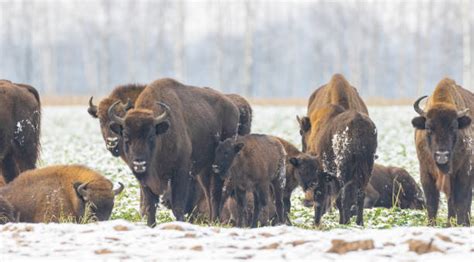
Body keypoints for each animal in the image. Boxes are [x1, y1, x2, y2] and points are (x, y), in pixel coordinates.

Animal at [108, 78, 241, 225]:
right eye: (126, 137)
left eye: (151, 136)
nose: (139, 163)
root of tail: (233, 107)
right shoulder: (146, 182)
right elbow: (150, 206)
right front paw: (151, 225)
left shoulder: (180, 173)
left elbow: (177, 206)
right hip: (204, 169)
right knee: (208, 192)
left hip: (218, 167)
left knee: (215, 193)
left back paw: (214, 221)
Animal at [294, 73, 376, 225]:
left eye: (301, 132)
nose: (305, 150)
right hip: (367, 166)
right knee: (359, 193)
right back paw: (358, 222)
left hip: (343, 168)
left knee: (343, 194)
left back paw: (345, 221)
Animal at [410, 77, 472, 226]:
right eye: (428, 127)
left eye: (454, 127)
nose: (442, 155)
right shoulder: (425, 172)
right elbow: (432, 202)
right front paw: (431, 225)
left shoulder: (463, 172)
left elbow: (461, 201)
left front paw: (461, 224)